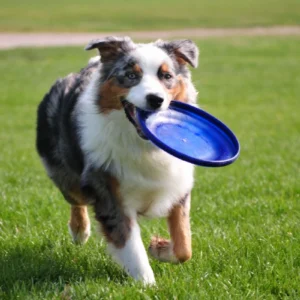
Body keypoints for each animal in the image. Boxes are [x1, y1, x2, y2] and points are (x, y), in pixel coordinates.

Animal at [35, 36, 199, 284]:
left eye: (167, 76)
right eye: (131, 75)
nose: (155, 99)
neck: (142, 144)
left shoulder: (177, 184)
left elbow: (184, 247)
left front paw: (158, 248)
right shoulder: (109, 192)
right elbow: (131, 246)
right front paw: (147, 284)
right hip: (67, 176)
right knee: (76, 200)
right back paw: (79, 232)